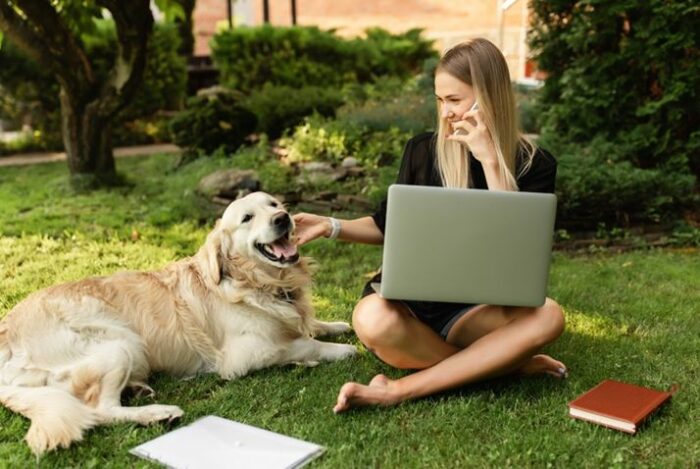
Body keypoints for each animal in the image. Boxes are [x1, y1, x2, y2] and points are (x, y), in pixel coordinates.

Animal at [0, 191, 358, 454]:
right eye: (247, 218)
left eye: (274, 204)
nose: (282, 218)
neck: (258, 283)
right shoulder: (243, 355)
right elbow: (303, 343)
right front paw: (340, 351)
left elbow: (309, 325)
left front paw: (336, 325)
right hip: (118, 342)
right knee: (98, 410)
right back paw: (158, 413)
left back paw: (139, 388)